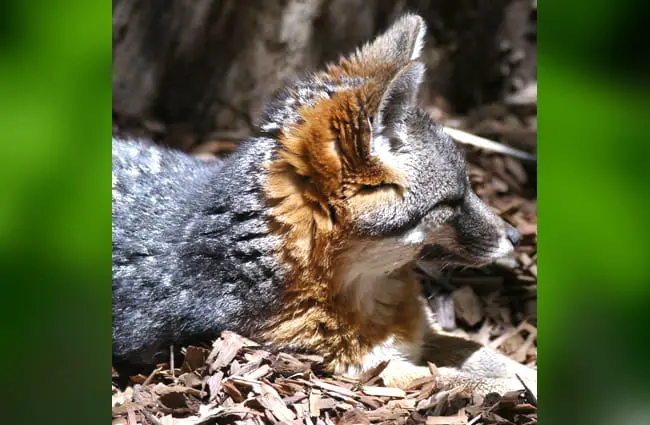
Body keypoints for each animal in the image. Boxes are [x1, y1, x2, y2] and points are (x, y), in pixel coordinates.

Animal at [112, 14, 536, 398]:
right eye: (452, 201)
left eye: (470, 187)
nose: (516, 236)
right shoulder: (366, 370)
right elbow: (468, 381)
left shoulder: (426, 334)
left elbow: (496, 358)